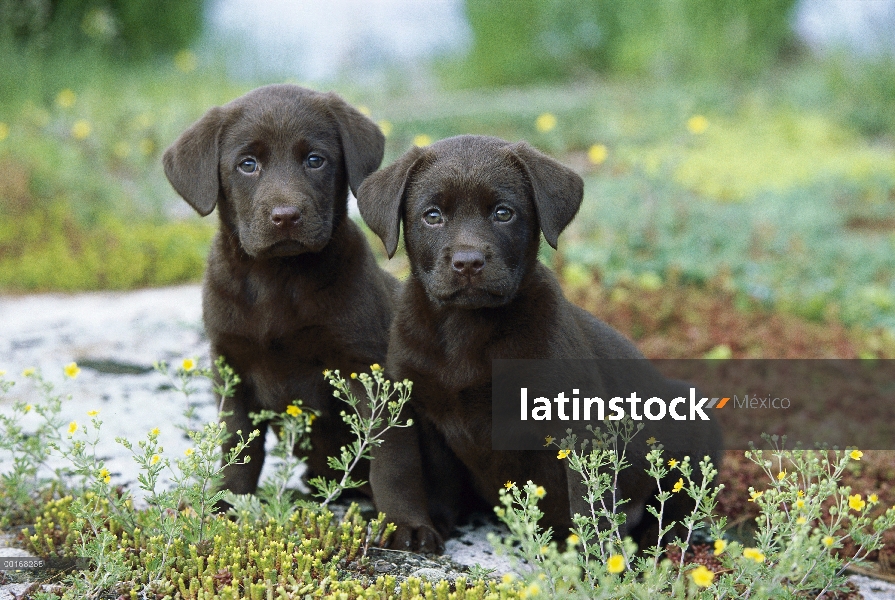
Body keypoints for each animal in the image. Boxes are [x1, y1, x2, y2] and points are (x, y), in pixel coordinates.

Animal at [164, 83, 396, 496]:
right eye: (248, 164)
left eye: (315, 160)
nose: (286, 216)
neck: (278, 278)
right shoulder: (230, 364)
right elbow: (239, 446)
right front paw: (225, 501)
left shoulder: (360, 364)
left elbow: (377, 449)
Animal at [356, 135, 720, 548]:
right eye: (432, 216)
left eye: (503, 213)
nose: (468, 262)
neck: (466, 326)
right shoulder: (405, 402)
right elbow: (400, 473)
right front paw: (410, 527)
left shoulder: (578, 418)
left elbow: (588, 494)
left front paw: (594, 553)